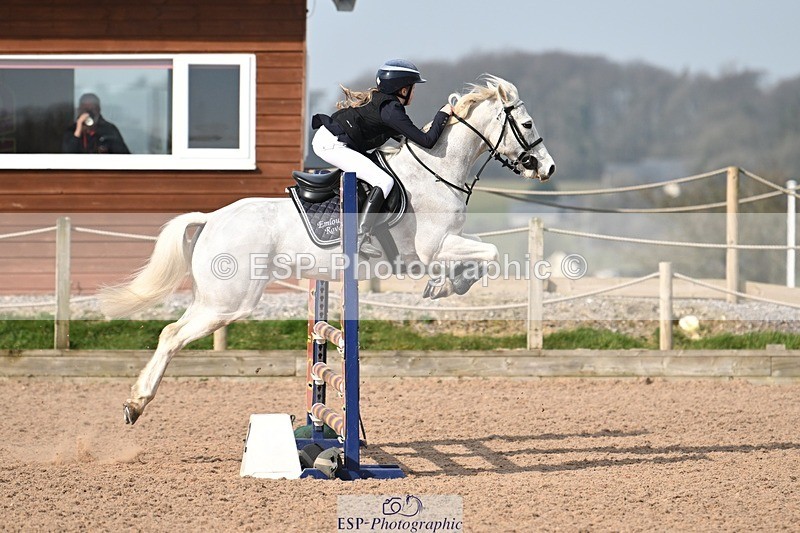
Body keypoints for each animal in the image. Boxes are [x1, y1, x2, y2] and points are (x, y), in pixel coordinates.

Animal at [101, 75, 556, 425]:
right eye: (528, 123)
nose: (548, 168)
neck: (437, 171)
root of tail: (212, 218)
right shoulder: (434, 248)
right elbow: (489, 256)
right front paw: (445, 287)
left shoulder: (447, 245)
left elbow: (484, 255)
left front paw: (444, 286)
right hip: (229, 302)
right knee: (173, 335)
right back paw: (136, 404)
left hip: (214, 297)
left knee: (169, 331)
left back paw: (134, 403)